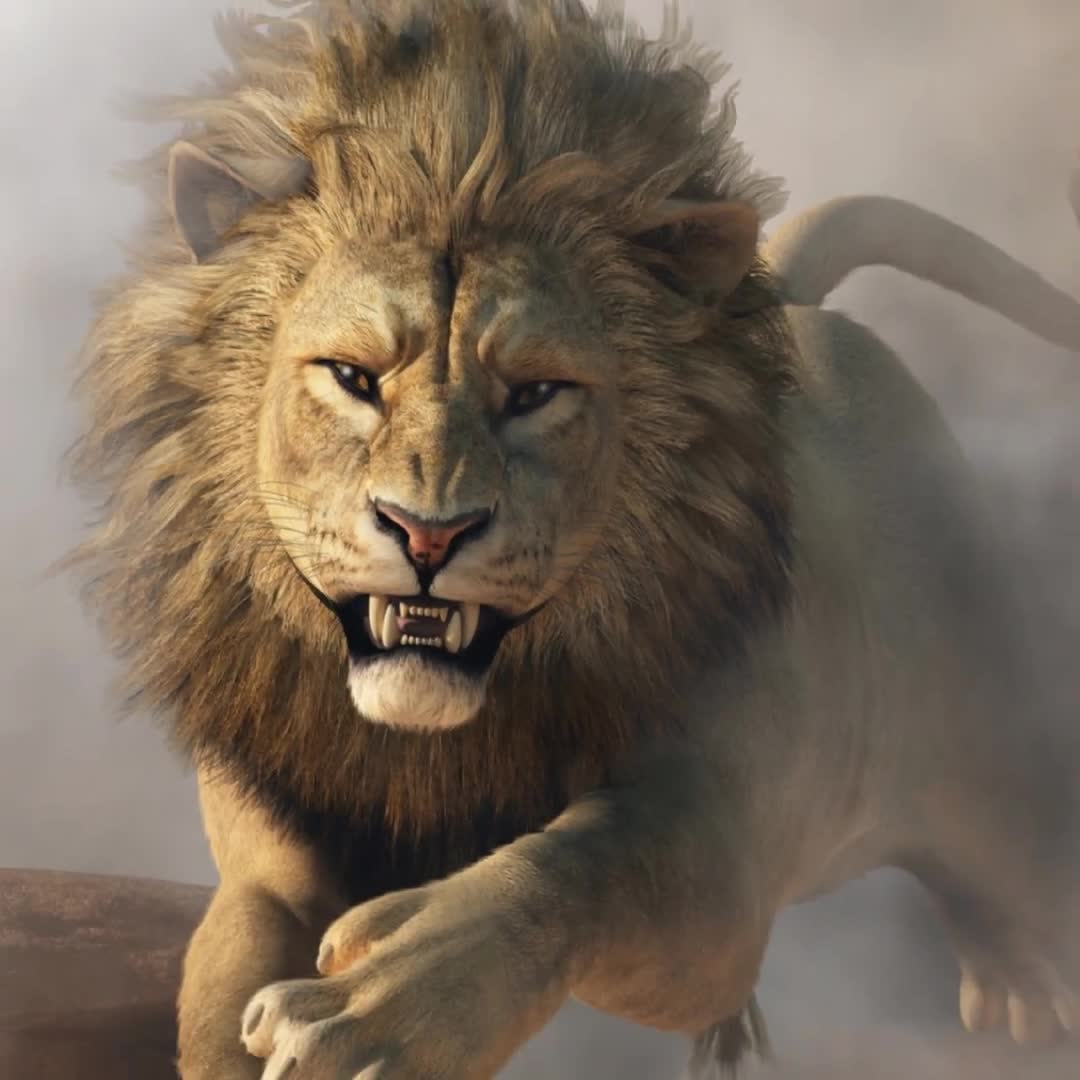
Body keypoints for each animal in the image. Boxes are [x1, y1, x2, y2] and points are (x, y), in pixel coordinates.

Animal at [65, 1, 1080, 1077]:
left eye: (536, 392)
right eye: (352, 377)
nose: (428, 533)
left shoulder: (720, 872)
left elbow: (580, 865)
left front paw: (380, 1011)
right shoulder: (269, 857)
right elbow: (229, 973)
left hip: (990, 752)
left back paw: (1023, 984)